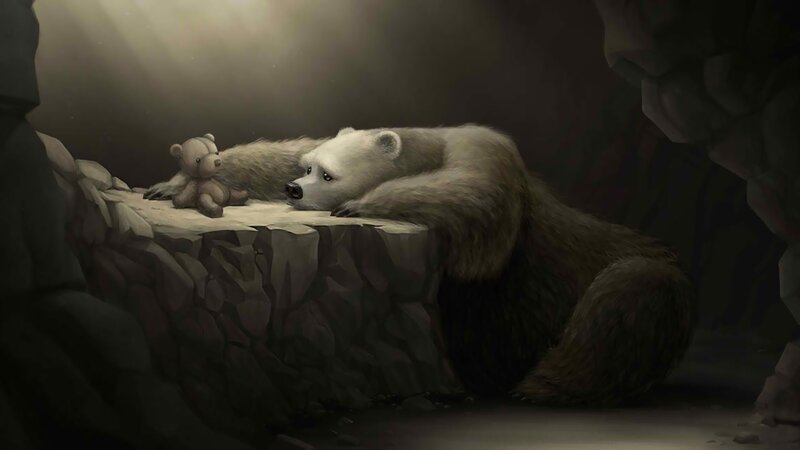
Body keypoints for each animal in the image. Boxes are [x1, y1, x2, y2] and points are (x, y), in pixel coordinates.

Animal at [146, 125, 694, 406]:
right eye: (307, 166)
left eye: (328, 173)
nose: (294, 190)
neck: (426, 149)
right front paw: (171, 184)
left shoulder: (486, 153)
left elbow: (477, 198)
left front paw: (358, 204)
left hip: (639, 278)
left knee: (623, 300)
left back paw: (541, 382)